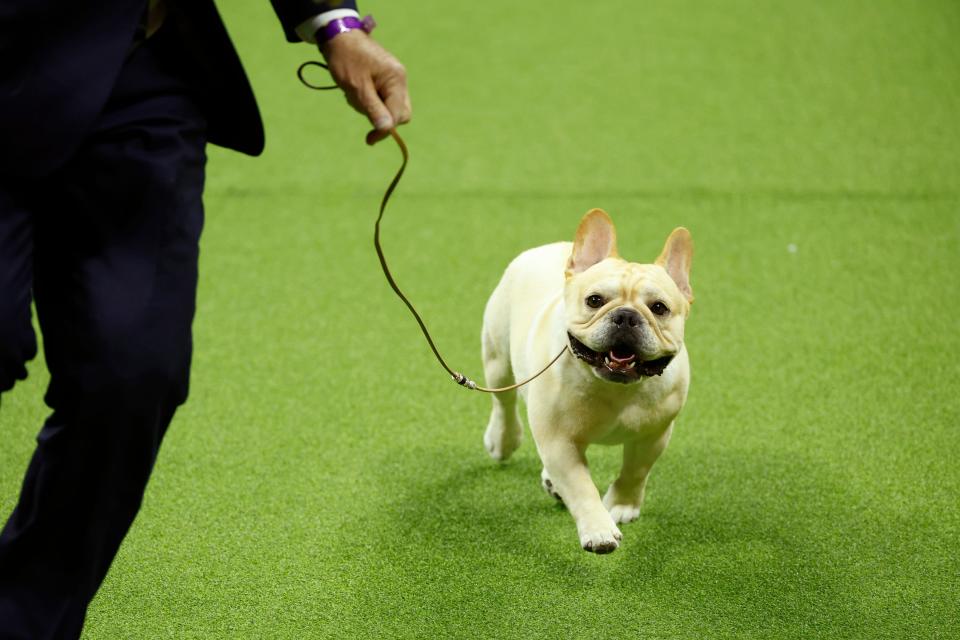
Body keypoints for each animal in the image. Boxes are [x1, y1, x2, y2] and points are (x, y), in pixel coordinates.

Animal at [484, 211, 692, 556]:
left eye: (659, 308)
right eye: (595, 300)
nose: (626, 316)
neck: (616, 387)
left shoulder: (653, 435)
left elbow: (636, 470)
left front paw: (622, 504)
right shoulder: (560, 443)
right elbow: (581, 487)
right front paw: (598, 530)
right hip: (497, 356)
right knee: (504, 400)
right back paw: (503, 438)